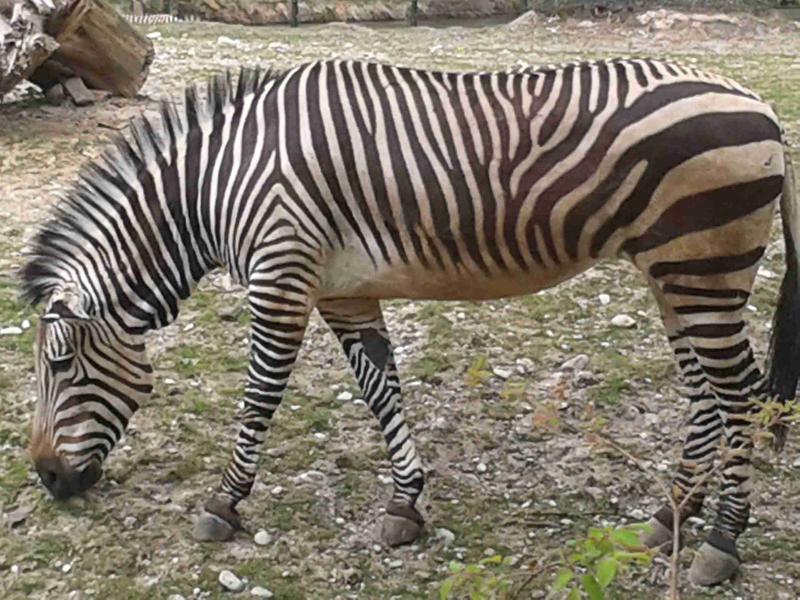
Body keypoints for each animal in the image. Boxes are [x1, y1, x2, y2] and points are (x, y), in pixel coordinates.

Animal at [21, 59, 797, 587]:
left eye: (58, 365)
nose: (48, 480)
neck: (213, 189)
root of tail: (759, 103)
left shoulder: (282, 276)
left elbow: (260, 398)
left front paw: (225, 501)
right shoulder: (341, 291)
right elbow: (380, 390)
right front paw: (405, 503)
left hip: (704, 270)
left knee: (740, 399)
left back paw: (720, 544)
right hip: (676, 275)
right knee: (704, 398)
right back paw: (670, 516)